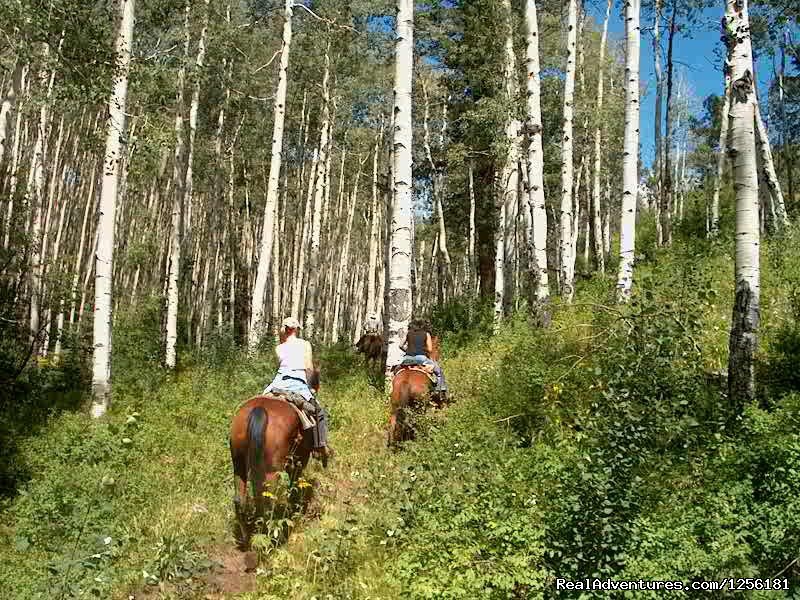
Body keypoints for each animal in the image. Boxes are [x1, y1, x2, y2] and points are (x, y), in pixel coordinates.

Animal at [228, 368, 318, 548]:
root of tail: (259, 410)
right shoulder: (300, 459)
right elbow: (293, 484)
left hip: (239, 463)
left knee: (241, 499)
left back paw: (246, 537)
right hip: (272, 470)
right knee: (268, 501)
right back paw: (271, 538)